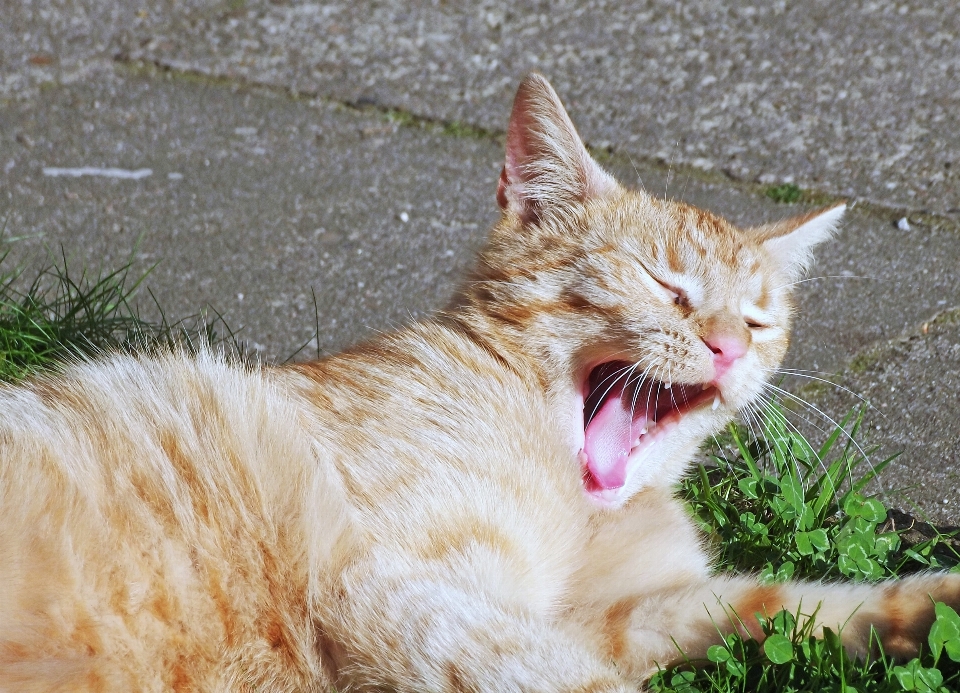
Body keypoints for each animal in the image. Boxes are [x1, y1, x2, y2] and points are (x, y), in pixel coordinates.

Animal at [1, 73, 960, 688]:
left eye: (757, 321)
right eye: (665, 285)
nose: (726, 346)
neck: (589, 506)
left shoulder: (624, 613)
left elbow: (785, 601)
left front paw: (928, 608)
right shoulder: (403, 589)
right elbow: (572, 681)